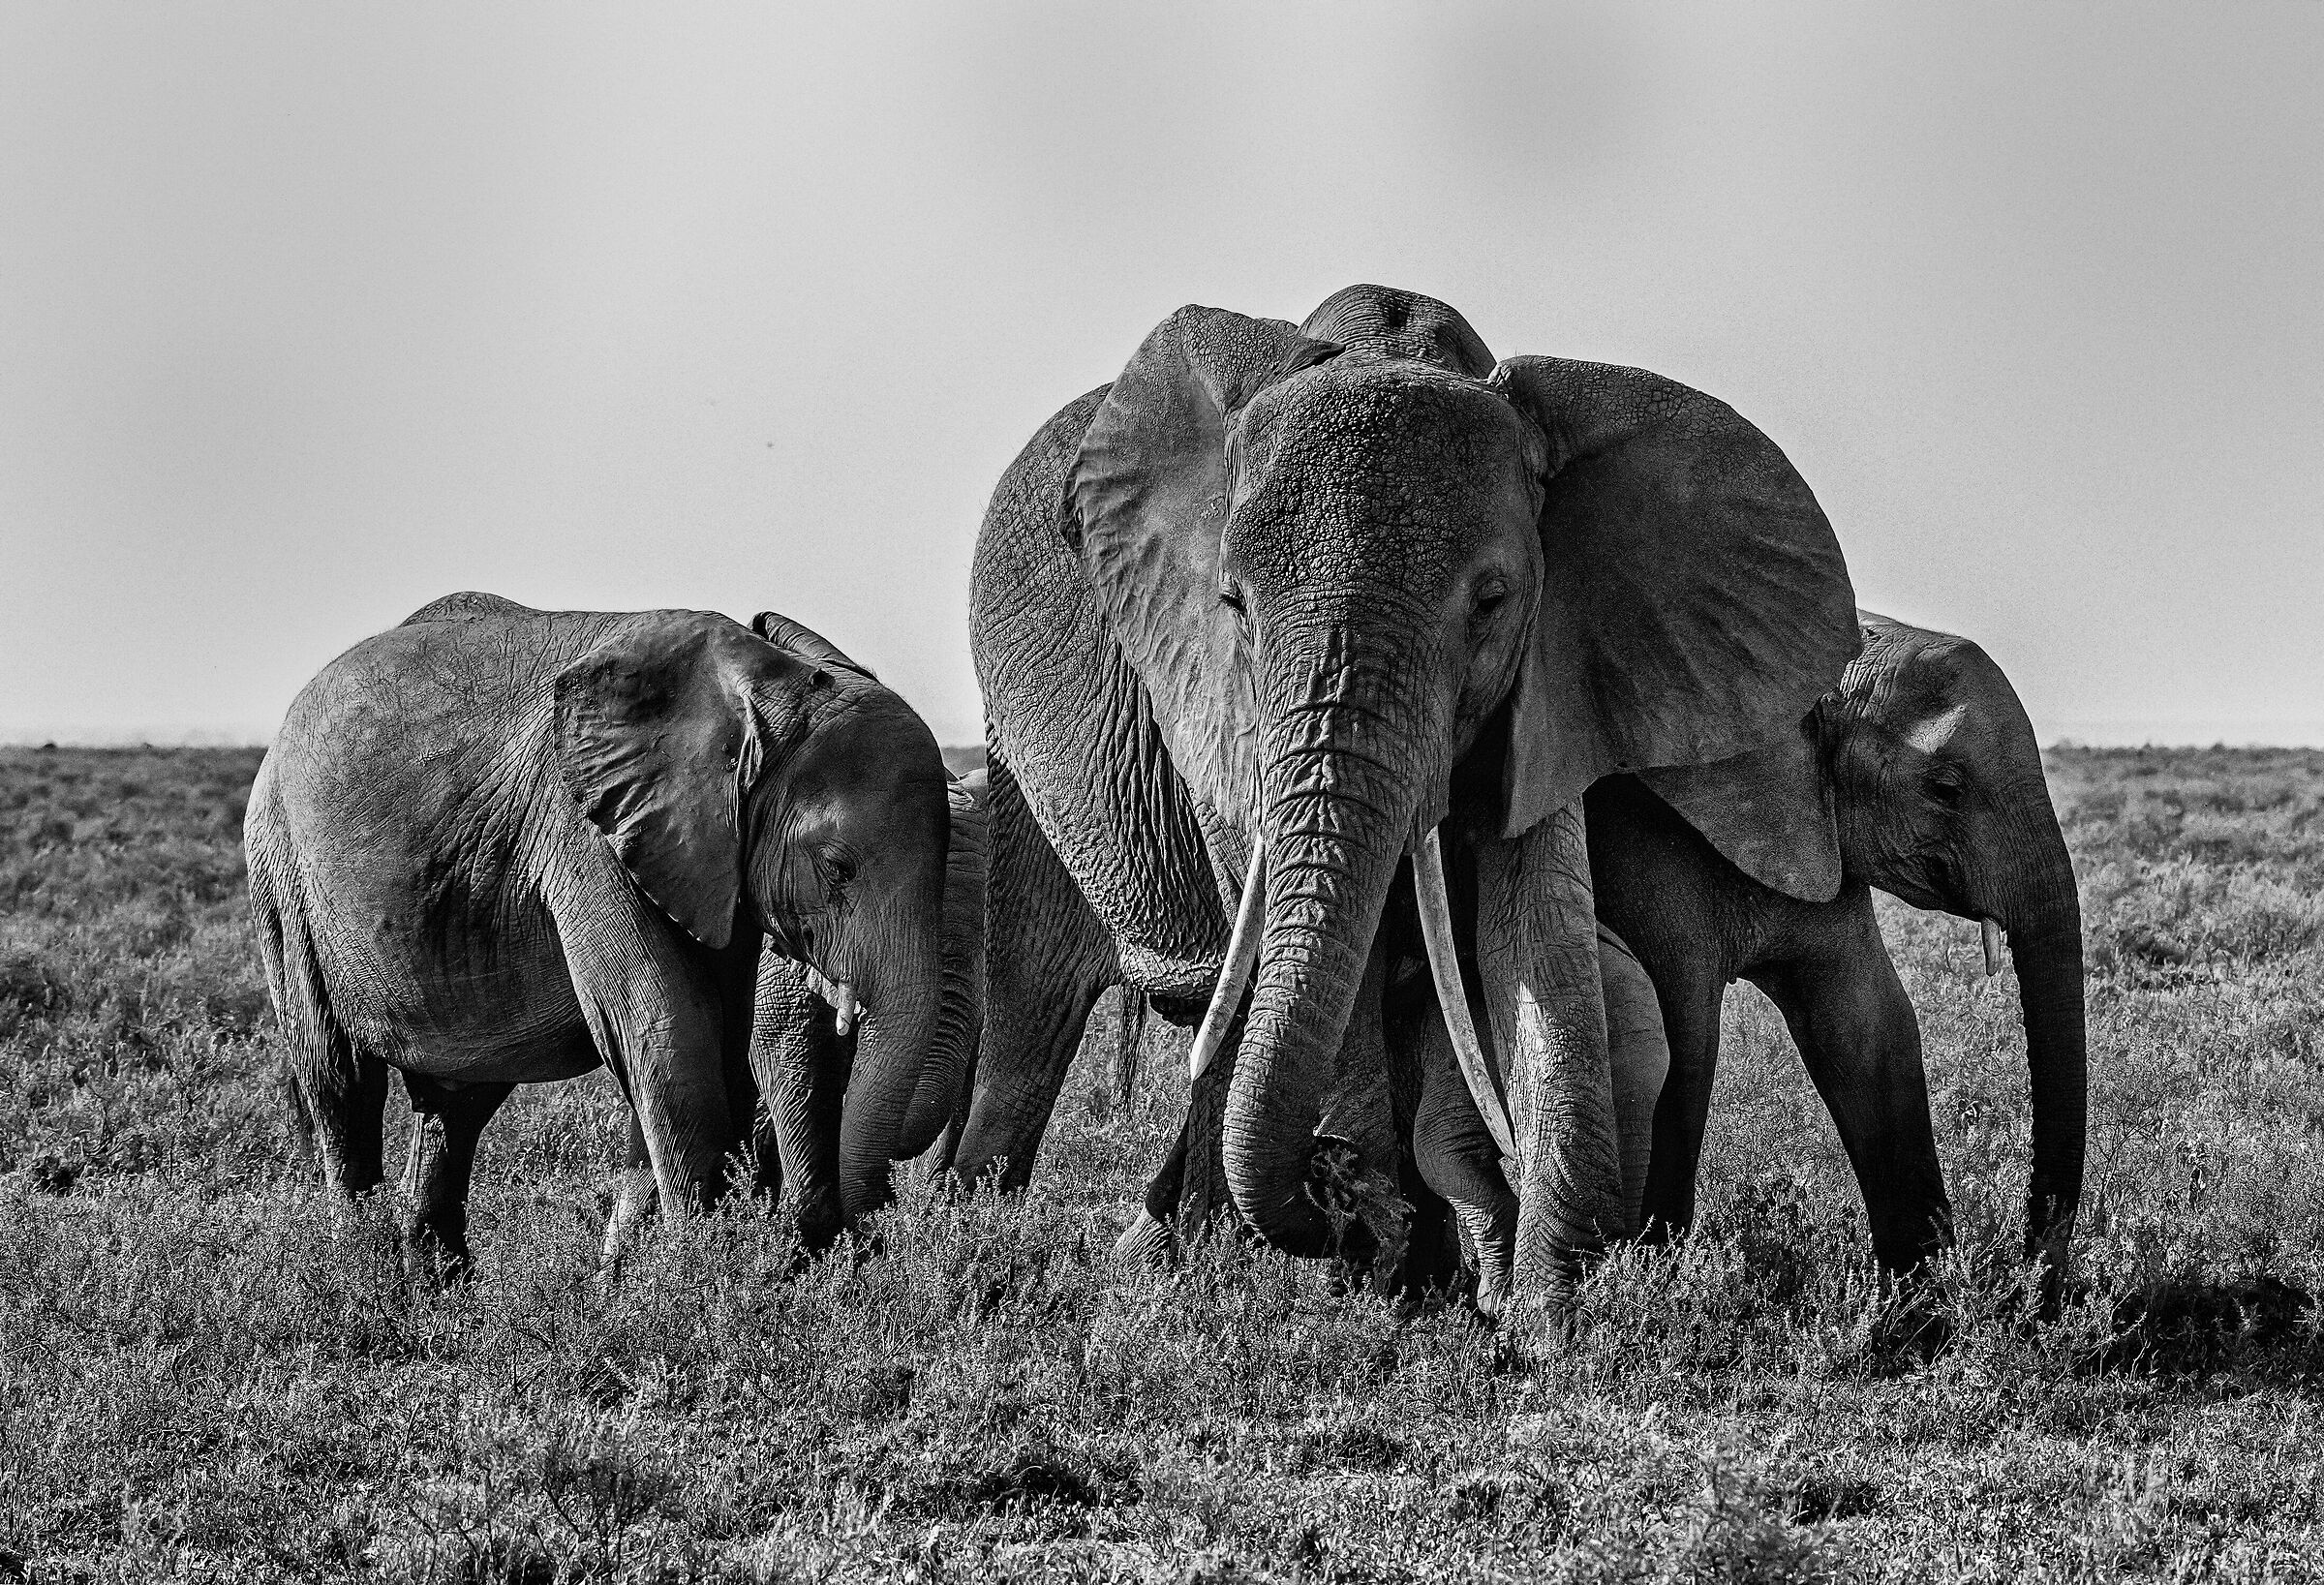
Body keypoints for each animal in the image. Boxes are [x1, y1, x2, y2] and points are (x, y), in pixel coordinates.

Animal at [245, 592, 954, 1275]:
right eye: (836, 866)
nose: (872, 1242)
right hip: (281, 873)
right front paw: (707, 1277)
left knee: (456, 1102)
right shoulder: (587, 832)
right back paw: (361, 1278)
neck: (761, 689)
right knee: (338, 1078)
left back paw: (437, 1292)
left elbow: (737, 1040)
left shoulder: (715, 856)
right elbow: (670, 1030)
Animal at [951, 284, 1861, 1310]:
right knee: (1037, 1023)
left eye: (1492, 602)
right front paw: (1380, 1278)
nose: (1335, 1197)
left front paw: (1542, 1312)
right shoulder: (1212, 696)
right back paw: (994, 1235)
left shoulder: (1559, 667)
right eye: (1234, 604)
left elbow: (1535, 935)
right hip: (1014, 759)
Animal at [1589, 611, 2085, 1276]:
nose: (2027, 1275)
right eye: (1946, 787)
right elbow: (1684, 1039)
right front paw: (1649, 1273)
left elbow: (1868, 1025)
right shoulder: (1639, 833)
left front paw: (1918, 1297)